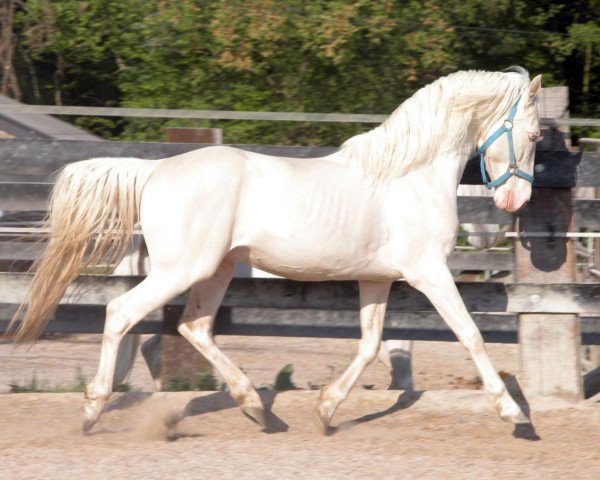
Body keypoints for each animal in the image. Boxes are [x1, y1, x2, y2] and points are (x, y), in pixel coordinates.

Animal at [10, 68, 544, 436]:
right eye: (535, 134)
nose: (516, 201)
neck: (408, 177)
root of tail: (154, 172)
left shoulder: (377, 279)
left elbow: (371, 345)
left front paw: (327, 410)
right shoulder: (428, 272)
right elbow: (470, 335)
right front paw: (514, 414)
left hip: (215, 271)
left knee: (191, 327)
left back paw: (253, 407)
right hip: (183, 269)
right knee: (122, 314)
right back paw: (92, 408)